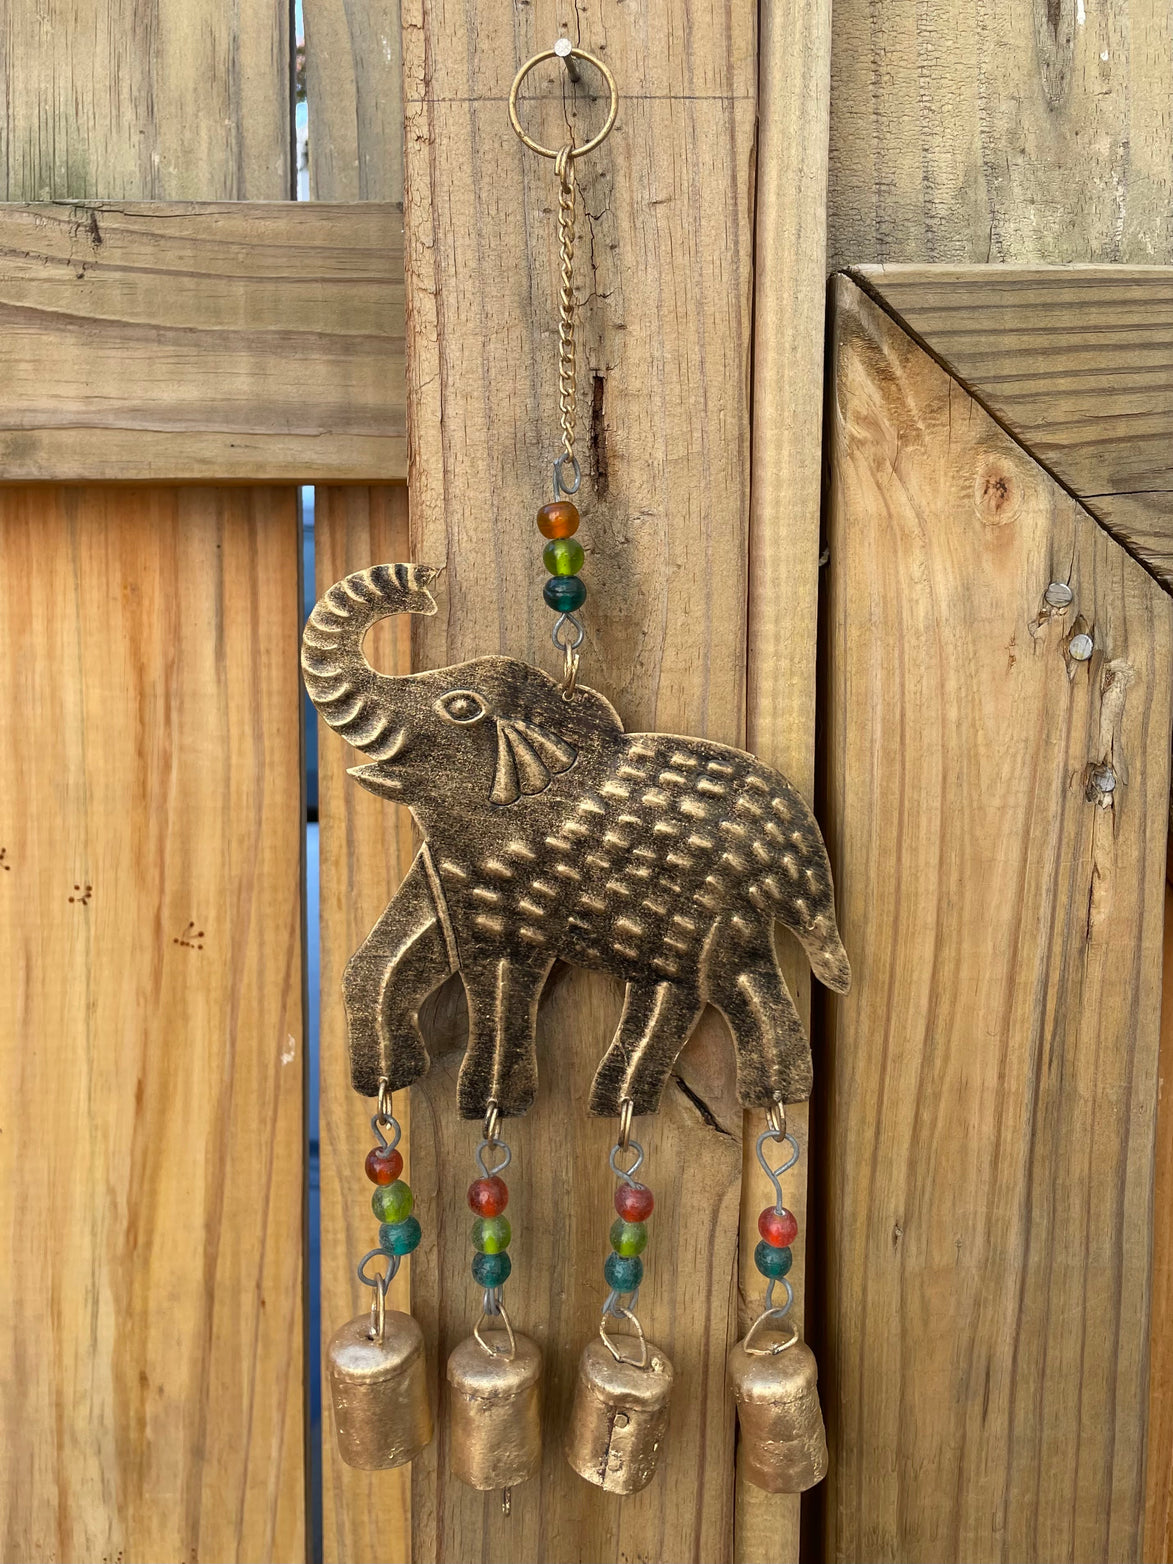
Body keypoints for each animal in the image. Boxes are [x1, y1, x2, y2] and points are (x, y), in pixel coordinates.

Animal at [302, 563, 850, 1120]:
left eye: (461, 707)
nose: (430, 583)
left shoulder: (515, 890)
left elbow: (498, 975)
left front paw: (488, 1108)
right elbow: (403, 946)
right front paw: (393, 1079)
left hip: (720, 911)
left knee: (727, 984)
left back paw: (757, 1098)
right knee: (687, 990)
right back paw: (627, 1102)